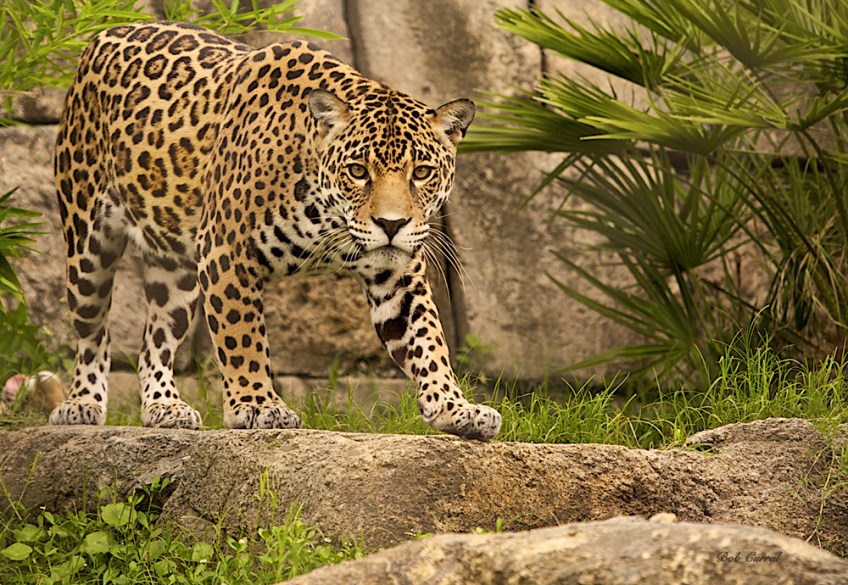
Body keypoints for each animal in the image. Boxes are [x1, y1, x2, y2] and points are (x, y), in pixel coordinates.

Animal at [48, 21, 502, 439]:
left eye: (422, 172)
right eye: (358, 171)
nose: (391, 224)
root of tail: (106, 32)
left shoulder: (397, 275)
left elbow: (428, 340)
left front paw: (455, 407)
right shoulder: (226, 253)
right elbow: (242, 337)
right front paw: (258, 405)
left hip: (174, 273)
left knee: (154, 340)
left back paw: (165, 407)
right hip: (87, 248)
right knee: (93, 334)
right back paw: (82, 404)